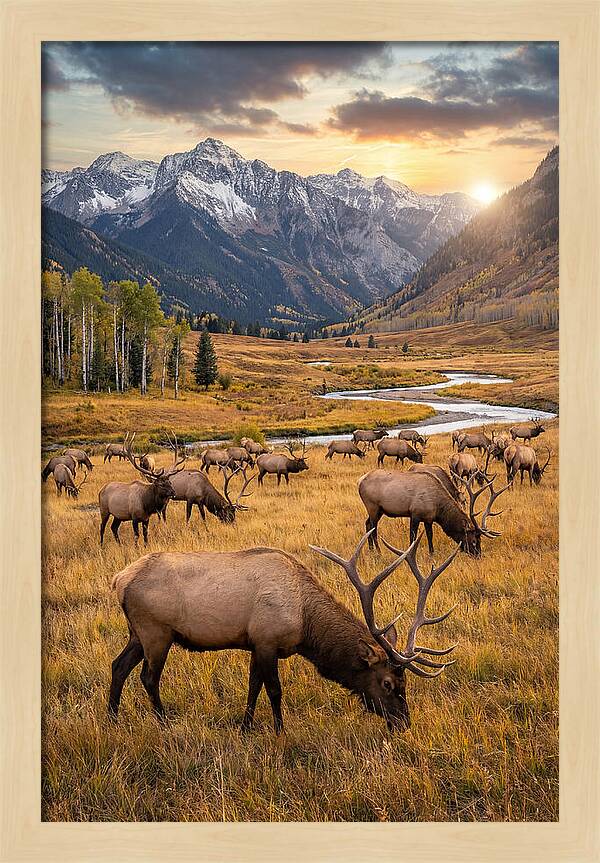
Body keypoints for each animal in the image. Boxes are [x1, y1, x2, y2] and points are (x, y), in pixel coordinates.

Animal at [108, 530, 459, 734]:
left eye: (405, 683)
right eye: (387, 683)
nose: (403, 723)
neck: (305, 624)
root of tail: (118, 580)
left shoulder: (254, 643)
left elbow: (253, 687)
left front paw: (246, 727)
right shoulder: (267, 640)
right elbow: (274, 690)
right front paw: (279, 730)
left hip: (136, 633)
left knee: (118, 666)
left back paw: (112, 718)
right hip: (156, 632)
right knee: (148, 677)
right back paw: (163, 721)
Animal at [358, 468, 507, 557]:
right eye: (474, 540)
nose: (478, 555)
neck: (438, 509)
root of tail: (359, 481)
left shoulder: (428, 518)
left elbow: (430, 536)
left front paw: (432, 554)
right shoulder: (415, 514)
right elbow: (412, 537)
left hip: (378, 510)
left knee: (367, 524)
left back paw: (371, 550)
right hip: (373, 507)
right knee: (373, 528)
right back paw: (378, 552)